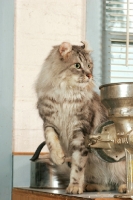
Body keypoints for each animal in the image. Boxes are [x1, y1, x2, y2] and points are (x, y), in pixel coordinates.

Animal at [35, 41, 125, 194]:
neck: (66, 95)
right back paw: (90, 186)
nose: (89, 75)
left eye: (89, 65)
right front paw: (58, 157)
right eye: (77, 66)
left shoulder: (80, 131)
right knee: (107, 183)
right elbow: (50, 139)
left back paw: (123, 187)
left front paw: (75, 187)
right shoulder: (48, 122)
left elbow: (78, 167)